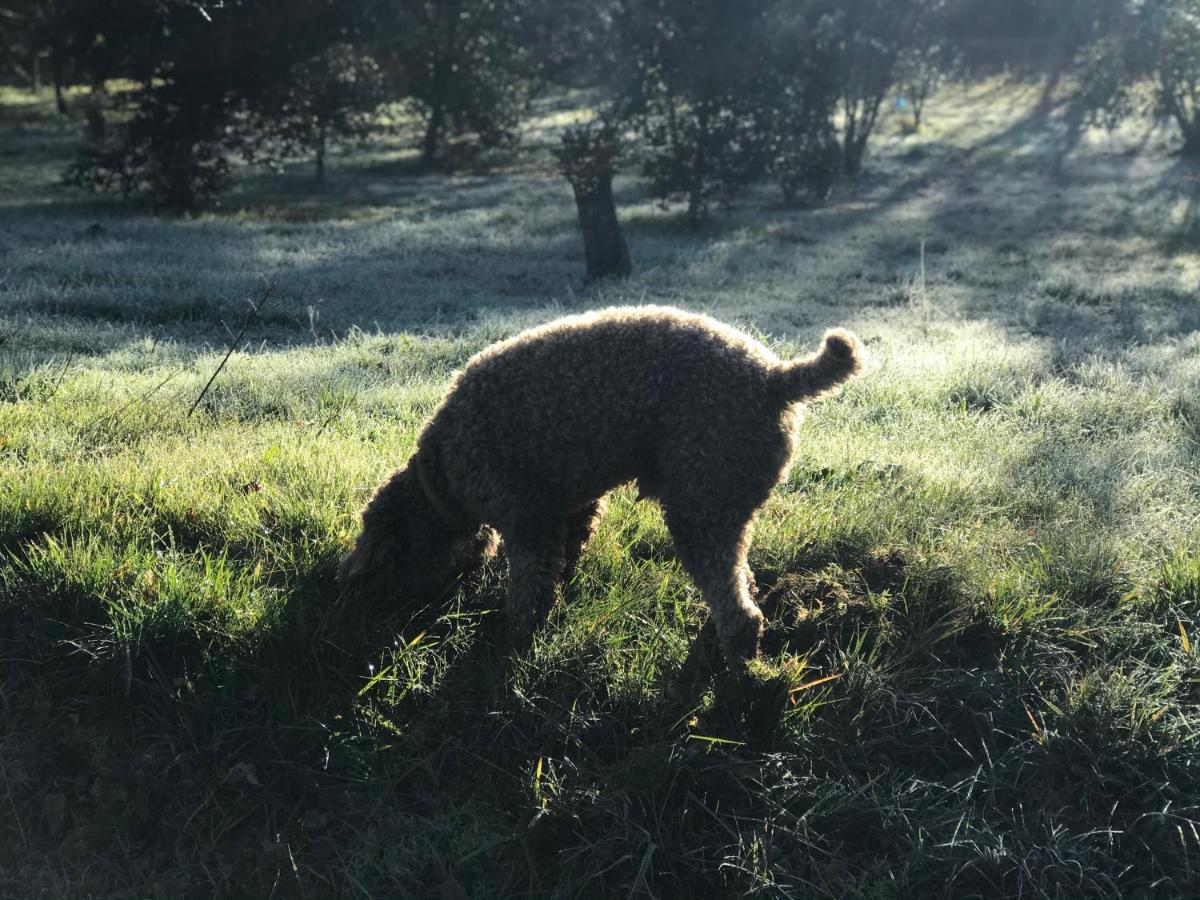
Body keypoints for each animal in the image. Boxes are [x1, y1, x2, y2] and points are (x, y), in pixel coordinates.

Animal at [338, 309, 864, 672]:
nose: (406, 616)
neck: (442, 470)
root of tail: (776, 378)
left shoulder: (528, 522)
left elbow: (528, 591)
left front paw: (512, 642)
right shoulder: (571, 507)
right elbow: (564, 561)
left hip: (700, 509)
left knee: (739, 610)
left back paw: (736, 674)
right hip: (723, 508)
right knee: (741, 584)